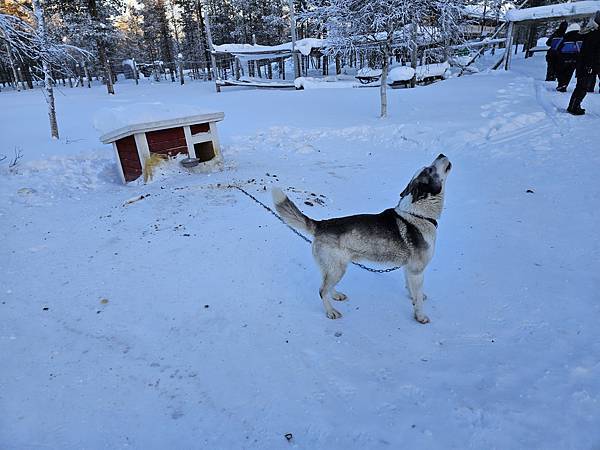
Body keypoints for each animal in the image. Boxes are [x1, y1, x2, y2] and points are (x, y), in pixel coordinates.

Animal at [272, 155, 450, 324]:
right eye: (430, 169)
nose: (442, 154)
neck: (418, 214)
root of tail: (322, 224)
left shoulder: (409, 268)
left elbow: (412, 290)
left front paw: (413, 298)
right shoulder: (417, 270)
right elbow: (418, 299)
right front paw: (420, 316)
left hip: (334, 268)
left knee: (326, 286)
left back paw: (336, 295)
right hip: (338, 269)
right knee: (322, 290)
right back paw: (331, 312)